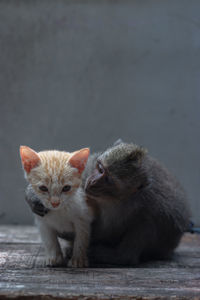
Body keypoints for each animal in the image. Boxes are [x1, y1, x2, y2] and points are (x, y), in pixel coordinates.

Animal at [25, 141, 191, 264]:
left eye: (108, 180)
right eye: (100, 168)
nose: (92, 182)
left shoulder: (148, 207)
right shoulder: (88, 168)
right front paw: (32, 196)